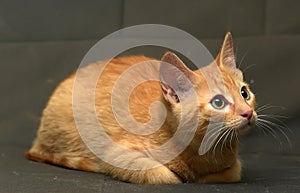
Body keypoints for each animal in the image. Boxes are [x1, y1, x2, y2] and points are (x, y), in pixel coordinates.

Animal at [25, 32, 256, 184]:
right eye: (218, 102)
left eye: (244, 93)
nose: (248, 112)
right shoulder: (118, 154)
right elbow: (166, 177)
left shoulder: (232, 169)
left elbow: (230, 173)